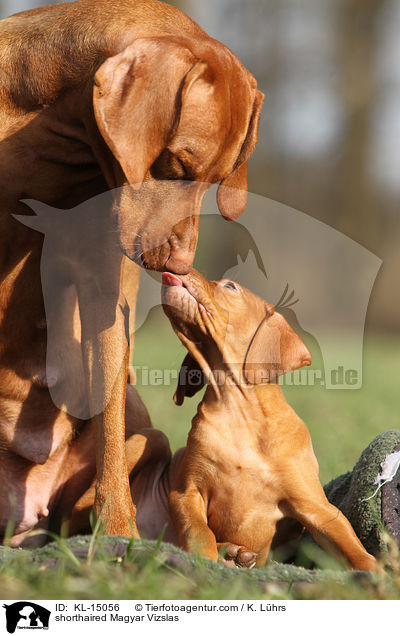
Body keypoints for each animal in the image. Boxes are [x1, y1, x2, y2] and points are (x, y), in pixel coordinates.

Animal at [0, 0, 262, 544]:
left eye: (217, 179)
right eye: (178, 164)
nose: (181, 267)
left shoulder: (105, 294)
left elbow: (110, 425)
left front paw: (119, 532)